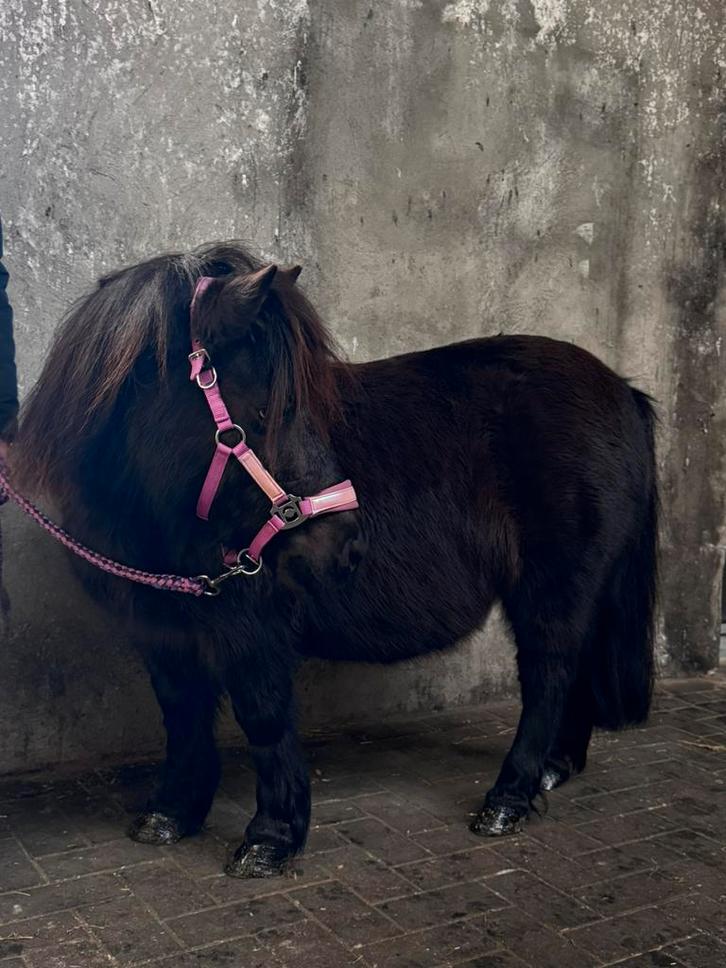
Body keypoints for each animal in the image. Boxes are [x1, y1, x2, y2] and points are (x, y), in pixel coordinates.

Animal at [11, 241, 657, 878]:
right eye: (272, 411)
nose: (345, 547)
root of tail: (621, 388)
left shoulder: (250, 626)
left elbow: (263, 716)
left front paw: (271, 837)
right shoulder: (162, 629)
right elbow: (181, 714)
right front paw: (172, 812)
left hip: (556, 584)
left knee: (549, 673)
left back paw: (510, 796)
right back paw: (555, 766)